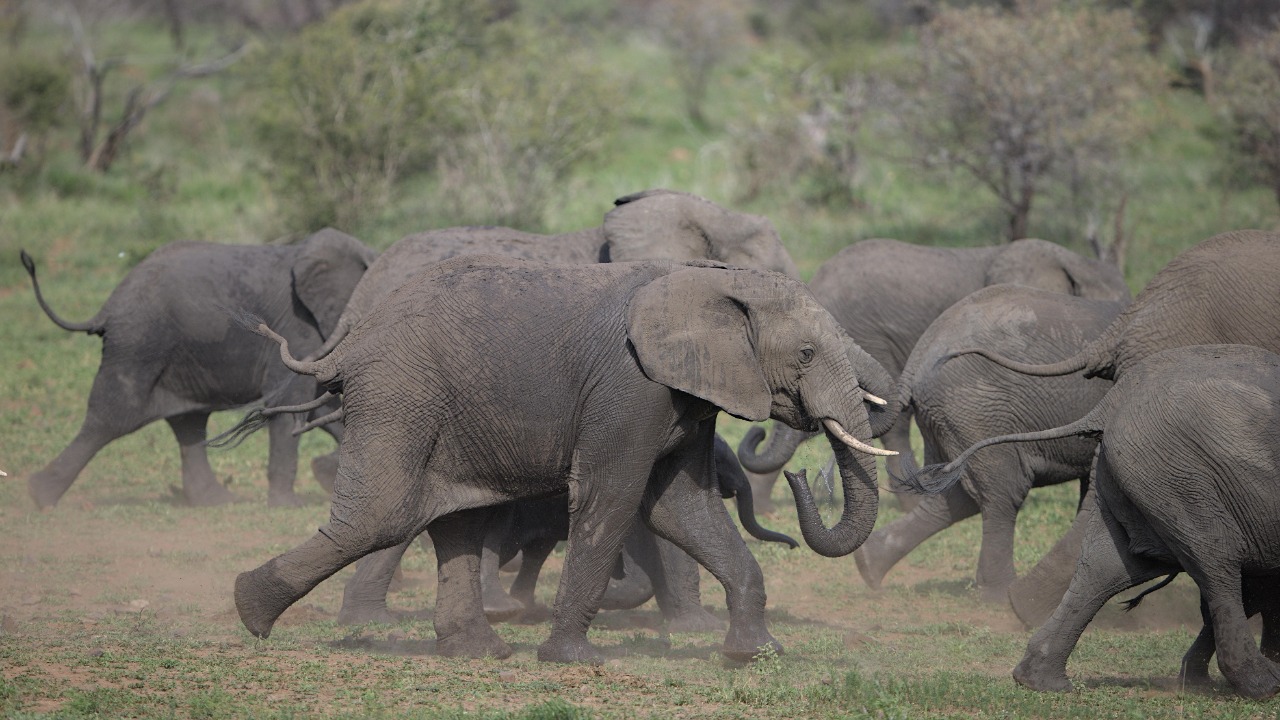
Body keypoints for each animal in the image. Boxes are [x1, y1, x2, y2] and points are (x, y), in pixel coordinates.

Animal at [20, 230, 377, 508]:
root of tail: (106, 308)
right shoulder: (299, 326)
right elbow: (292, 404)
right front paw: (289, 505)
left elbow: (322, 407)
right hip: (139, 344)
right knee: (111, 417)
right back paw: (39, 496)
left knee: (188, 423)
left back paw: (216, 501)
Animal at [230, 255, 894, 664]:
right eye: (806, 353)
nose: (804, 476)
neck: (706, 281)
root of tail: (348, 343)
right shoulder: (629, 387)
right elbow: (613, 497)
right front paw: (575, 659)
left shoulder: (684, 397)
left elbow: (684, 509)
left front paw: (755, 655)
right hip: (400, 394)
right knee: (383, 515)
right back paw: (250, 612)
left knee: (454, 518)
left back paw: (479, 652)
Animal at [852, 285, 1124, 603]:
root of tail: (919, 357)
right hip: (976, 409)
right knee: (1003, 492)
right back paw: (1000, 595)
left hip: (948, 418)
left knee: (951, 497)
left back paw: (868, 565)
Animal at [900, 344, 1280, 699]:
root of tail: (1112, 401)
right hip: (1181, 475)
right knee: (1217, 562)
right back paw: (1260, 685)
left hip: (1139, 470)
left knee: (1107, 567)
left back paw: (1038, 680)